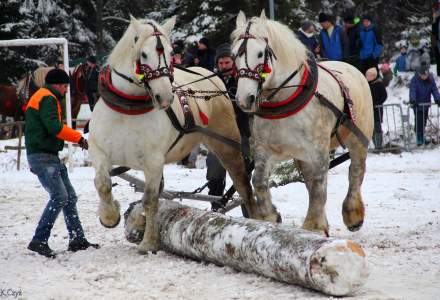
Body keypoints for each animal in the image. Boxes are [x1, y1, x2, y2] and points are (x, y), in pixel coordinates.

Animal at [90, 16, 262, 254]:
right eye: (144, 54)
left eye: (171, 52)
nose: (165, 96)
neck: (128, 109)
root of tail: (211, 76)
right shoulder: (100, 151)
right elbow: (103, 184)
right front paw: (109, 216)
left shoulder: (153, 160)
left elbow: (150, 200)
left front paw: (148, 242)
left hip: (227, 146)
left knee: (243, 186)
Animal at [232, 11, 372, 236]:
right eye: (234, 54)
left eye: (261, 54)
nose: (244, 99)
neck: (285, 99)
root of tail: (350, 67)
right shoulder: (267, 149)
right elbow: (259, 180)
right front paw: (271, 216)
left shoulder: (319, 151)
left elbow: (318, 186)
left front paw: (313, 226)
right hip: (303, 156)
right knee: (309, 179)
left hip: (358, 138)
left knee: (355, 171)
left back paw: (353, 214)